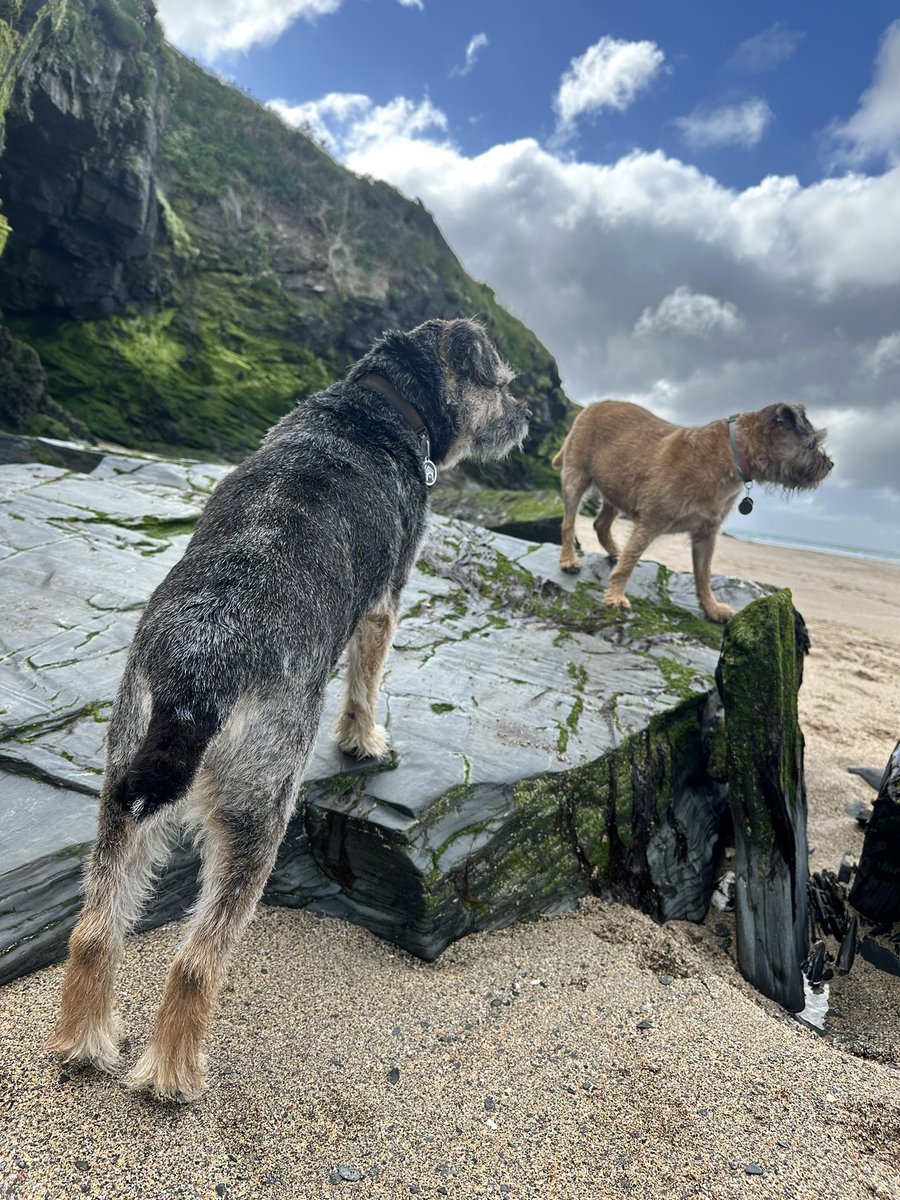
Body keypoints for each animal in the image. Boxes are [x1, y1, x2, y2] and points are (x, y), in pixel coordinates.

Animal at [47, 316, 528, 1099]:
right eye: (501, 382)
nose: (528, 416)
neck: (380, 403)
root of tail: (197, 682)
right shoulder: (383, 604)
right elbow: (366, 682)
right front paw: (366, 742)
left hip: (123, 780)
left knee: (94, 929)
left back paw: (86, 1043)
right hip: (260, 813)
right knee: (196, 960)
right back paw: (172, 1077)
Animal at [554, 403, 835, 624]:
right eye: (811, 445)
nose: (830, 465)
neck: (731, 453)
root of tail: (593, 406)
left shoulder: (706, 536)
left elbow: (703, 574)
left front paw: (711, 607)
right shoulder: (650, 523)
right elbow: (629, 562)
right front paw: (615, 595)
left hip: (615, 489)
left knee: (601, 525)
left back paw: (614, 551)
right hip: (576, 478)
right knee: (568, 523)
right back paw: (569, 560)